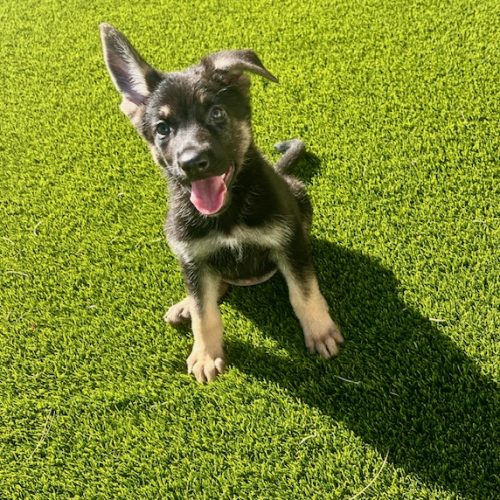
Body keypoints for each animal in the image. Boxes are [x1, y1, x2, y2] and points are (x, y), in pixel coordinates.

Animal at [99, 24, 343, 382]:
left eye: (216, 113)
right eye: (163, 128)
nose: (192, 163)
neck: (228, 214)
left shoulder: (289, 243)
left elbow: (304, 292)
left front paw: (320, 331)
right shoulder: (192, 257)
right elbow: (206, 314)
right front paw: (205, 354)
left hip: (299, 197)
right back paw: (186, 305)